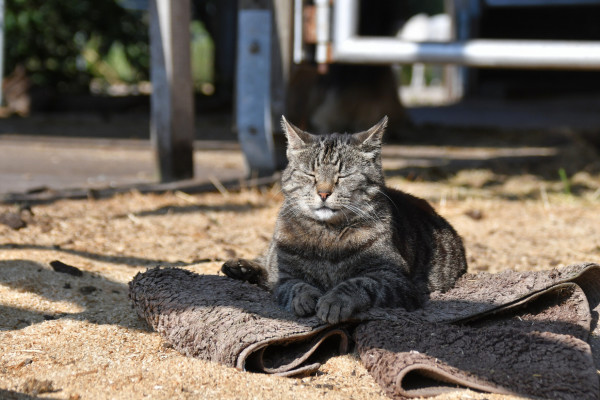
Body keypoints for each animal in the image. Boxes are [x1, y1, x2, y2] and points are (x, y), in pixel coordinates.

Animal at [223, 116, 466, 324]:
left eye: (344, 176)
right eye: (310, 174)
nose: (323, 193)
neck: (327, 235)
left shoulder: (395, 280)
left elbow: (358, 283)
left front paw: (333, 300)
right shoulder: (284, 275)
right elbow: (295, 285)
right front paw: (305, 297)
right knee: (266, 262)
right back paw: (239, 266)